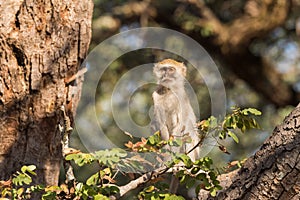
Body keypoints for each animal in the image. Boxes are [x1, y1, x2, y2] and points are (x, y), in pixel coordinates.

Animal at [151, 59, 200, 194]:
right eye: (164, 69)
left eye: (171, 69)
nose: (166, 75)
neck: (169, 91)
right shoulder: (156, 95)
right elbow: (160, 125)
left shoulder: (181, 98)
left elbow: (182, 125)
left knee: (188, 133)